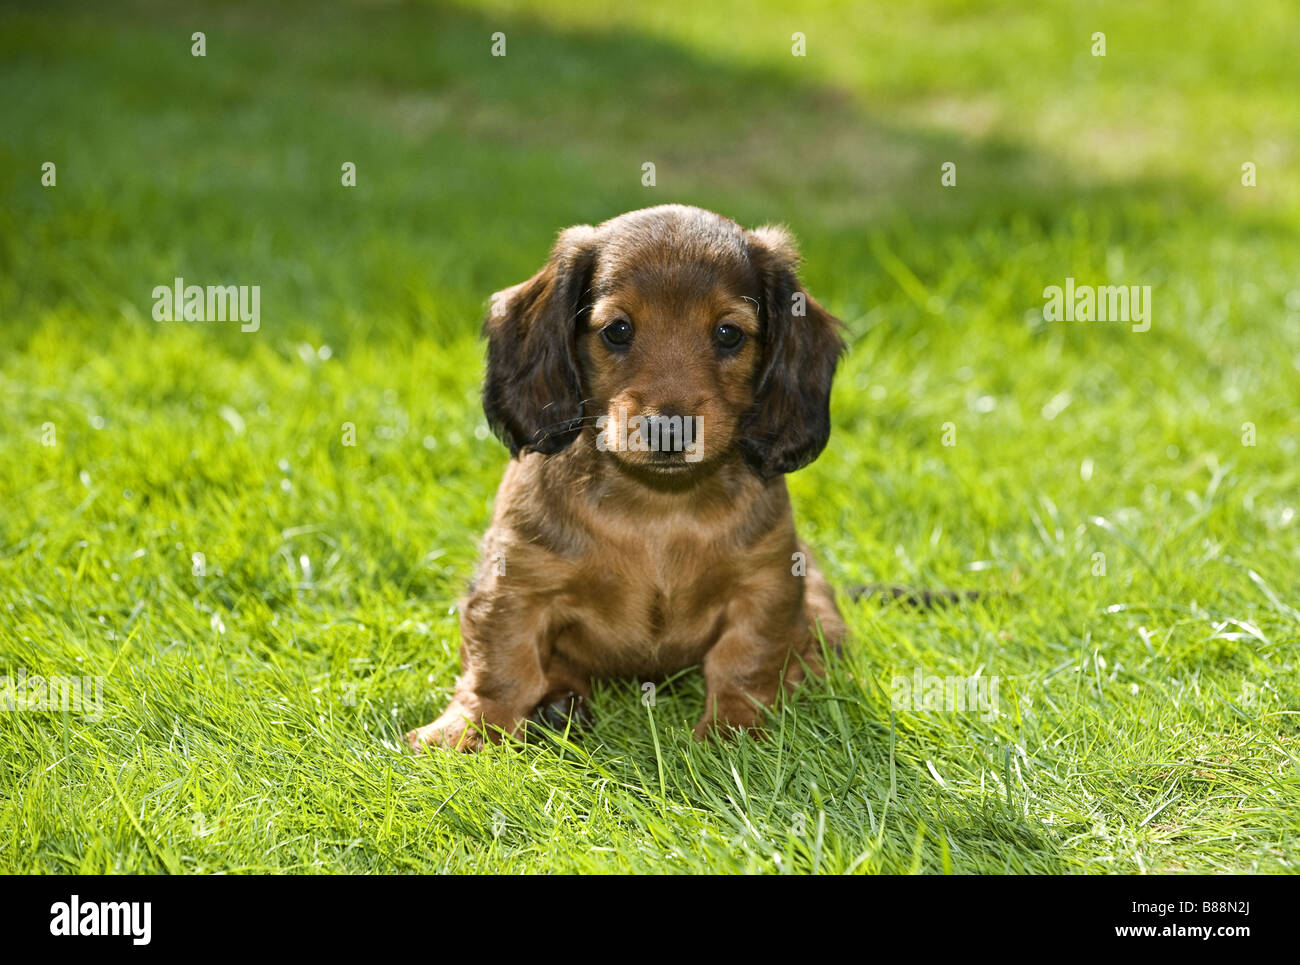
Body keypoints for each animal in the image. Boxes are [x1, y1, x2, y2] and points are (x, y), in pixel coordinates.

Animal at [408, 204, 852, 754]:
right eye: (617, 330)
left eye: (728, 334)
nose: (670, 429)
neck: (657, 509)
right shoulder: (515, 582)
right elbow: (502, 664)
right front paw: (470, 728)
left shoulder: (765, 582)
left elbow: (745, 660)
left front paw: (734, 733)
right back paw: (559, 705)